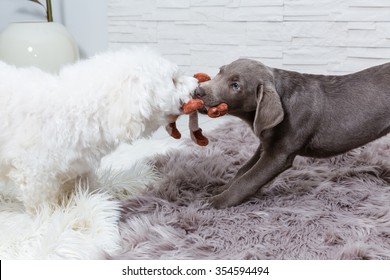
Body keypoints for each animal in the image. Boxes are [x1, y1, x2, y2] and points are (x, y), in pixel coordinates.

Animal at [0, 48, 197, 211]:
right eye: (173, 80)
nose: (197, 85)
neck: (78, 111)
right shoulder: (36, 174)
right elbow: (43, 205)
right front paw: (52, 217)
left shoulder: (79, 167)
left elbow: (86, 189)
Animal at [197, 58, 390, 208]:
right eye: (220, 71)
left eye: (235, 85)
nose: (197, 91)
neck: (282, 95)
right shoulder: (265, 145)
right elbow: (242, 171)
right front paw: (221, 189)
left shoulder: (278, 155)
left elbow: (248, 179)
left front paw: (216, 202)